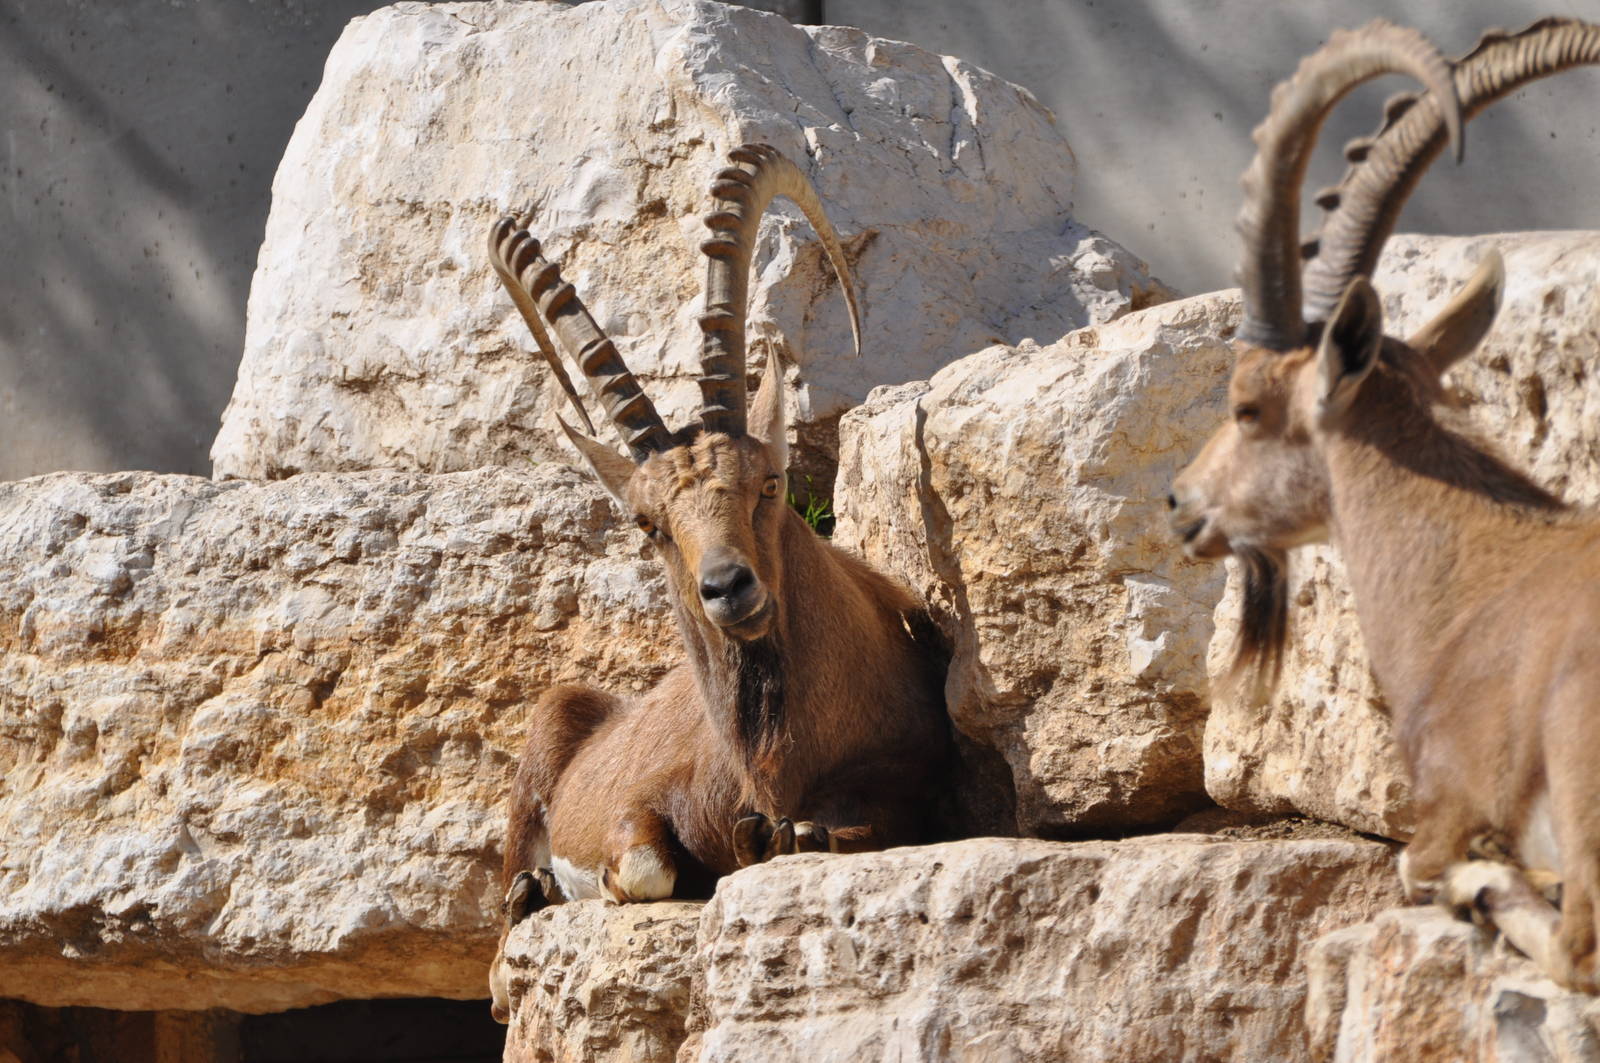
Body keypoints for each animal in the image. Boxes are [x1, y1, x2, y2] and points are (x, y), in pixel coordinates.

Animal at [485, 145, 952, 1022]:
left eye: (768, 482)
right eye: (650, 525)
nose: (728, 587)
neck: (774, 758)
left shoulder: (913, 779)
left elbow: (841, 826)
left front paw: (773, 839)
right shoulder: (643, 800)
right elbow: (643, 863)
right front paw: (599, 880)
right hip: (546, 734)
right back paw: (531, 895)